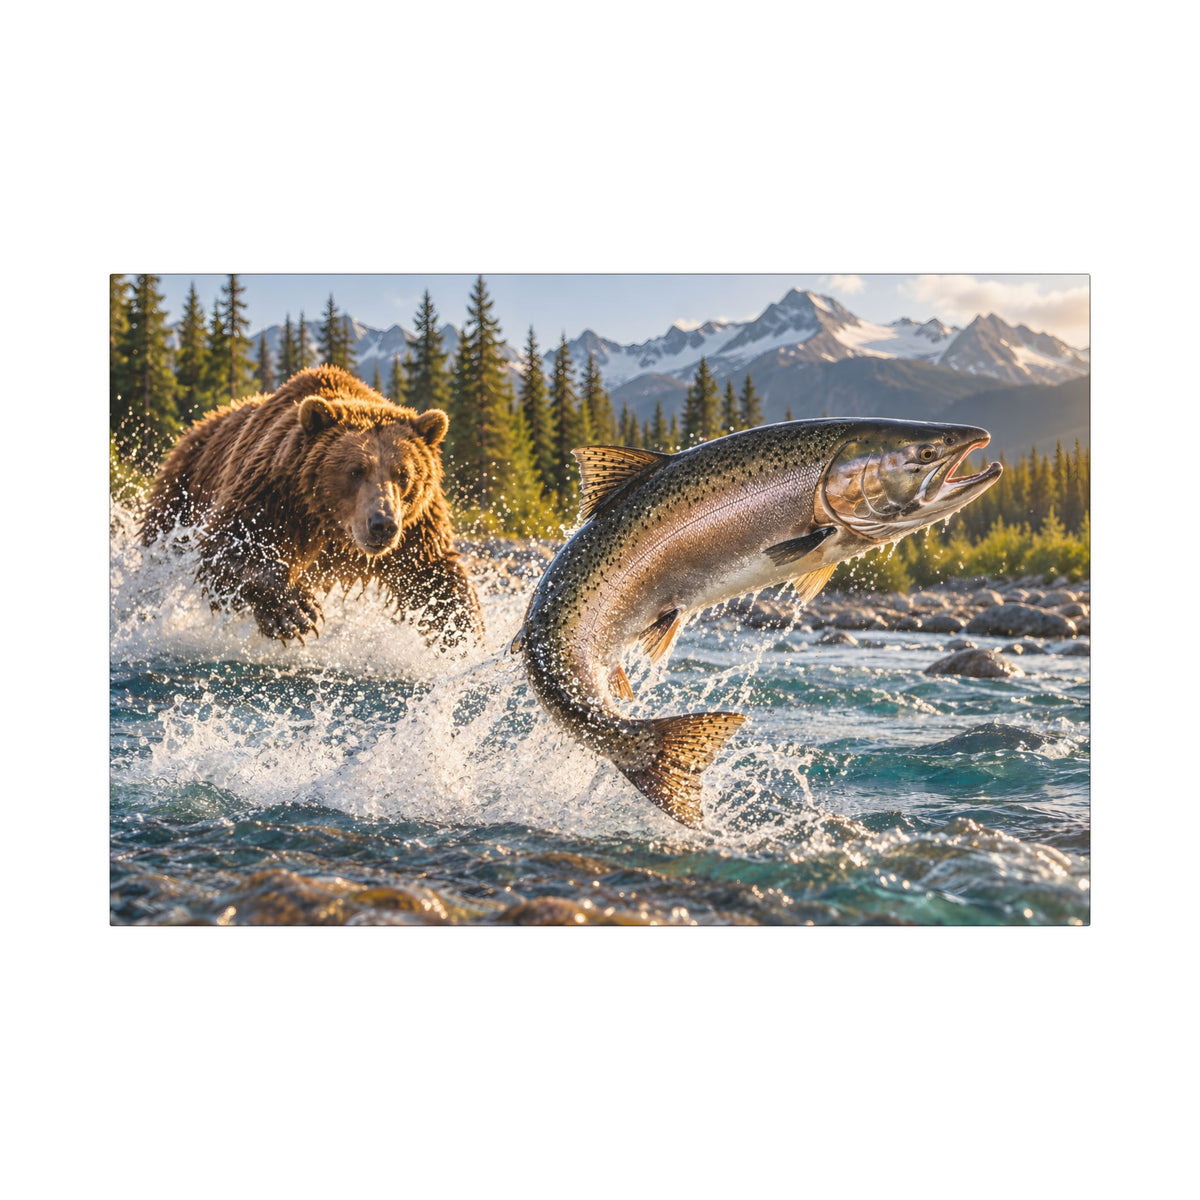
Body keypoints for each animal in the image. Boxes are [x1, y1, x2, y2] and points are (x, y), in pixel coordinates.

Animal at [140, 365, 484, 650]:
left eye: (404, 474)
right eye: (356, 470)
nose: (382, 524)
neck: (330, 526)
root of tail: (202, 422)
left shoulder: (415, 528)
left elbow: (433, 574)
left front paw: (463, 634)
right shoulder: (271, 495)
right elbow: (228, 550)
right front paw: (295, 612)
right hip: (182, 491)